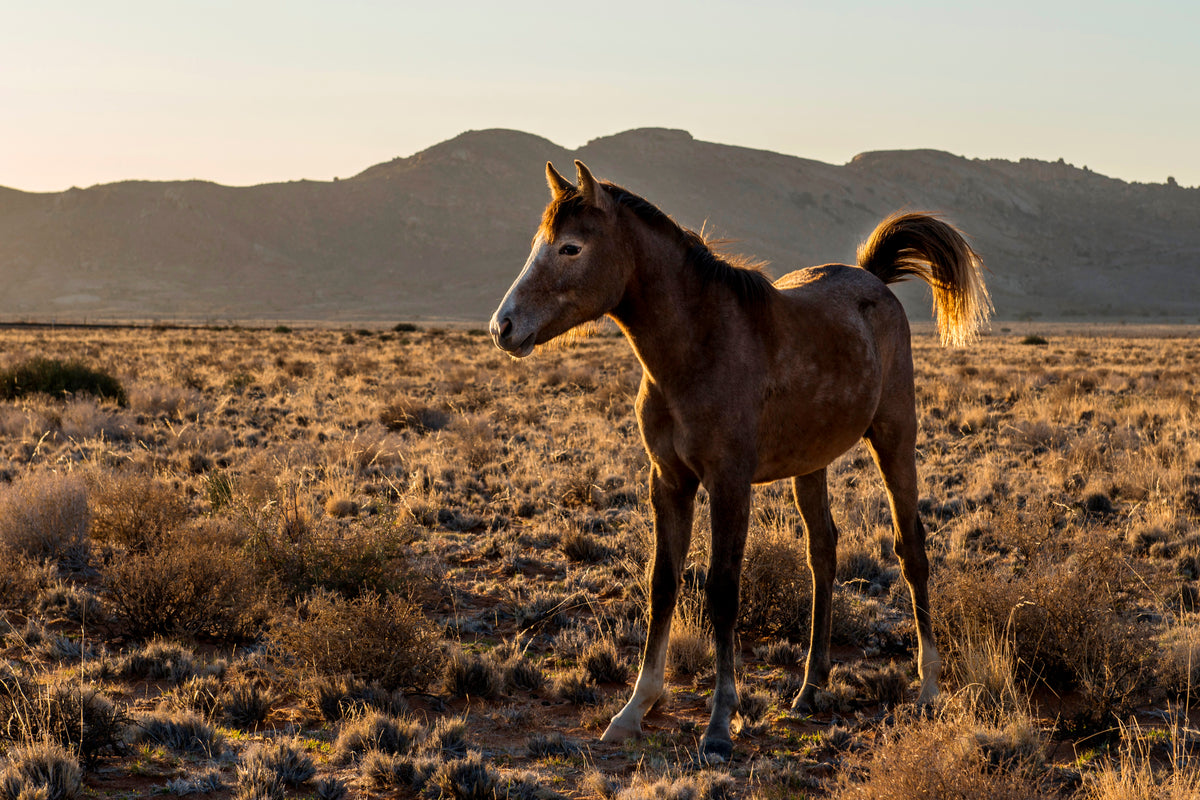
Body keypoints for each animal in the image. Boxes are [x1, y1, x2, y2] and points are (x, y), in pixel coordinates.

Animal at [490, 160, 991, 762]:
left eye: (570, 248)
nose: (503, 327)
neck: (698, 348)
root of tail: (872, 281)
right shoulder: (669, 483)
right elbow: (663, 583)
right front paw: (635, 708)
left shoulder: (729, 484)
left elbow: (723, 592)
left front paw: (719, 723)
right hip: (811, 462)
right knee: (823, 551)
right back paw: (811, 686)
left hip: (894, 439)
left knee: (911, 548)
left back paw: (929, 688)